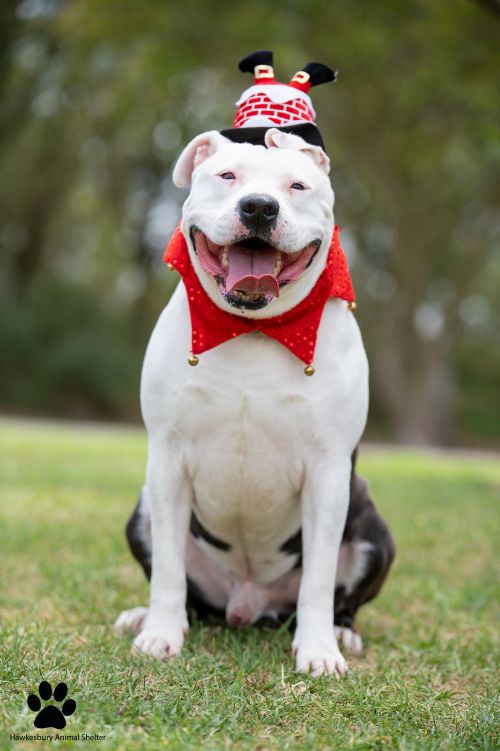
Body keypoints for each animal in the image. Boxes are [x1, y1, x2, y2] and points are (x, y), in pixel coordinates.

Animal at [116, 126, 394, 680]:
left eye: (297, 186)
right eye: (228, 176)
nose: (260, 207)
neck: (252, 328)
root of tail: (248, 605)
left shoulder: (329, 472)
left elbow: (318, 579)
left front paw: (318, 650)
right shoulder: (168, 461)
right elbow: (169, 571)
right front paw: (160, 634)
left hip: (374, 529)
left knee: (341, 596)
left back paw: (343, 632)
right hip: (142, 511)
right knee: (186, 591)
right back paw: (147, 617)